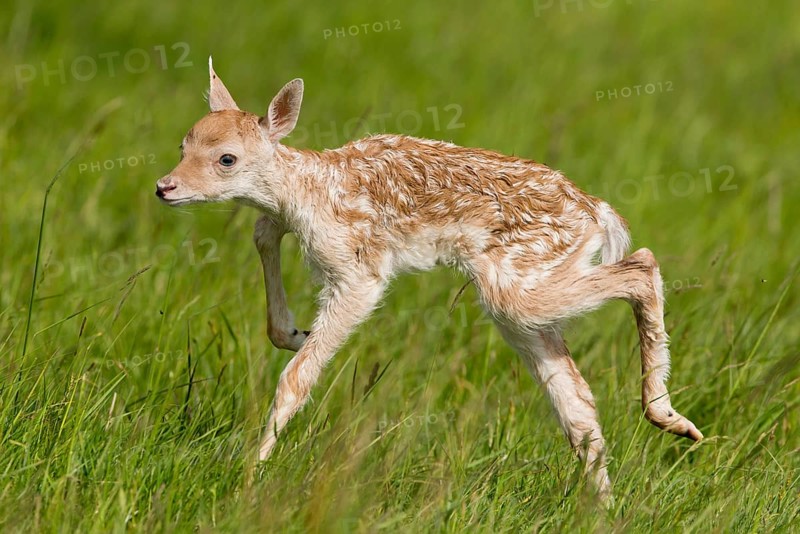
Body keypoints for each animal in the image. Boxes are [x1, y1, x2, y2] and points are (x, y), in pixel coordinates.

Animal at [155, 58, 702, 498]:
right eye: (182, 144)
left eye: (227, 159)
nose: (165, 186)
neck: (307, 191)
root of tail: (599, 213)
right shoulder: (281, 227)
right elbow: (262, 237)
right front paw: (293, 332)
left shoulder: (359, 271)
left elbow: (296, 379)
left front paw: (252, 474)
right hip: (525, 300)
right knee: (580, 403)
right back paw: (611, 496)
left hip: (517, 289)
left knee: (644, 265)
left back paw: (667, 417)